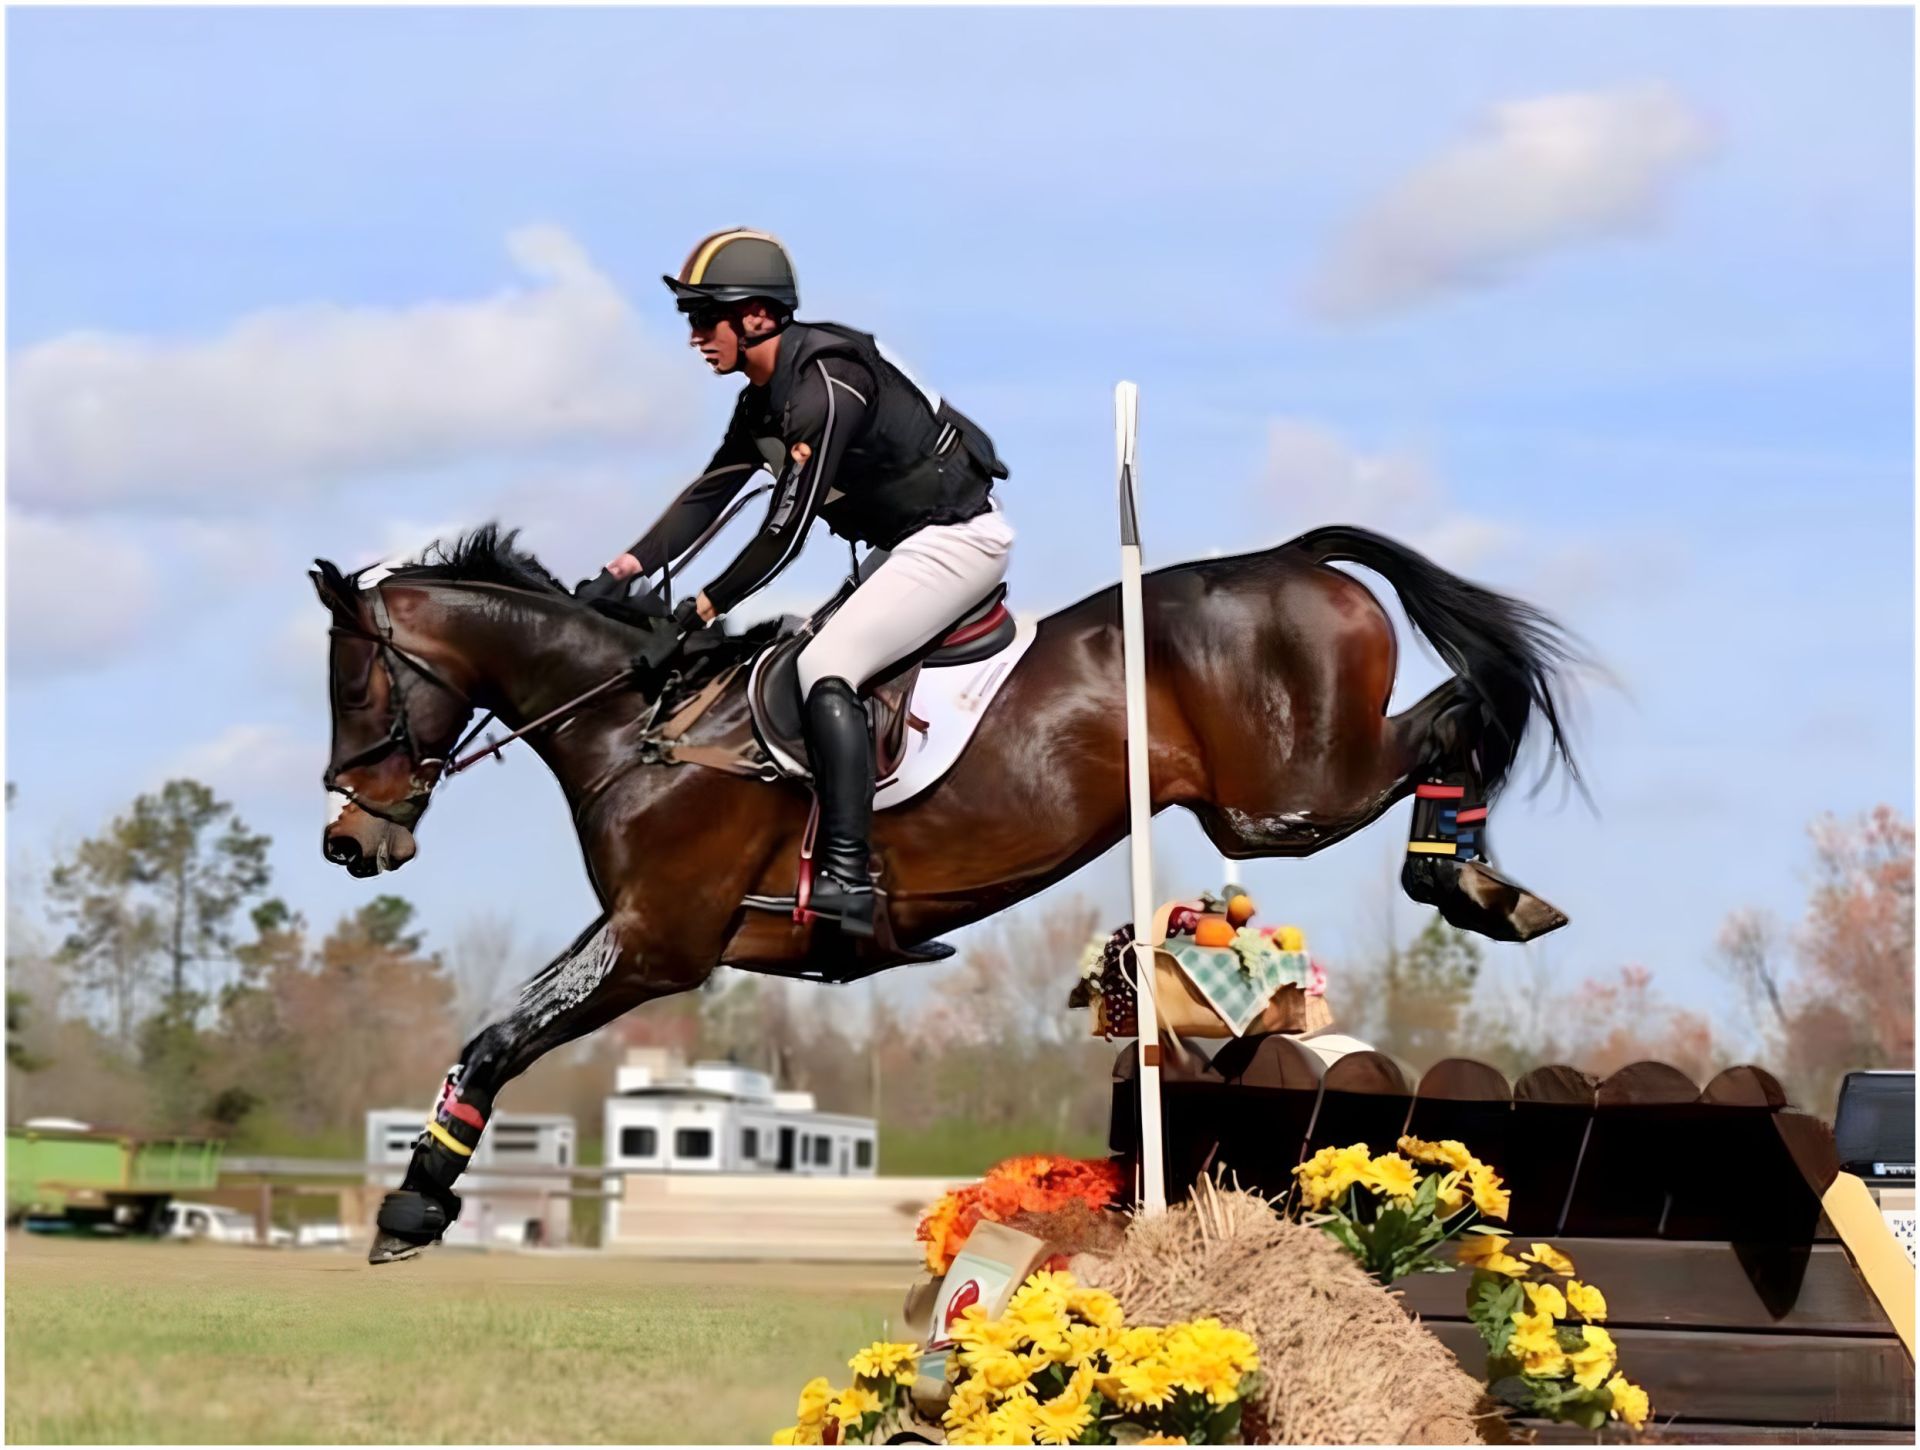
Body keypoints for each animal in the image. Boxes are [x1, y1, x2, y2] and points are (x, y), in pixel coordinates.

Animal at [311, 522, 1582, 1262]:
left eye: (357, 685)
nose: (348, 842)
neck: (635, 719)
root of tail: (1297, 558)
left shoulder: (658, 939)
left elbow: (496, 1039)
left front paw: (412, 1208)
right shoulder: (636, 927)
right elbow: (499, 1031)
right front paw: (421, 1197)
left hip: (1284, 802)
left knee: (1456, 711)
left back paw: (1467, 877)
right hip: (1263, 806)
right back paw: (1481, 878)